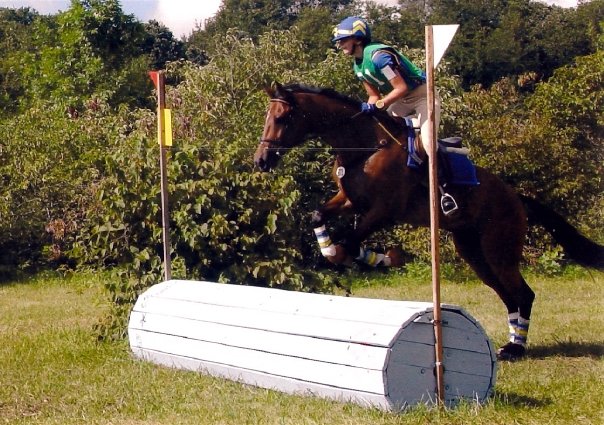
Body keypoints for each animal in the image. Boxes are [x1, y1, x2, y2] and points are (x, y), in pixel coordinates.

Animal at [254, 81, 604, 360]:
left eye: (282, 118)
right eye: (268, 118)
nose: (261, 161)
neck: (364, 148)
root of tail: (517, 198)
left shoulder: (383, 210)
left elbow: (351, 243)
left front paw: (381, 257)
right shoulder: (350, 201)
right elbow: (319, 215)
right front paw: (333, 250)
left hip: (498, 249)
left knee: (523, 293)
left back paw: (516, 349)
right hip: (474, 253)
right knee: (508, 295)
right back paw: (510, 344)